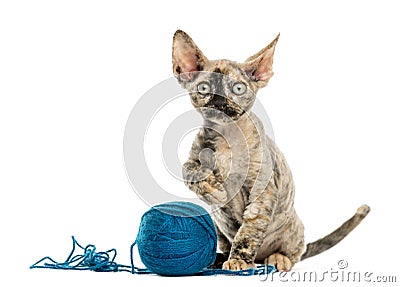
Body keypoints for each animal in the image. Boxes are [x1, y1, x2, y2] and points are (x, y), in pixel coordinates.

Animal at [170, 29, 370, 272]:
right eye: (204, 88)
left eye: (238, 88)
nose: (220, 100)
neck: (227, 136)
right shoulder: (194, 157)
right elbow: (188, 169)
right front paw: (213, 189)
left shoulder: (263, 191)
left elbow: (248, 231)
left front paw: (239, 260)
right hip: (220, 230)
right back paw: (217, 259)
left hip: (292, 228)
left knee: (295, 252)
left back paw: (276, 258)